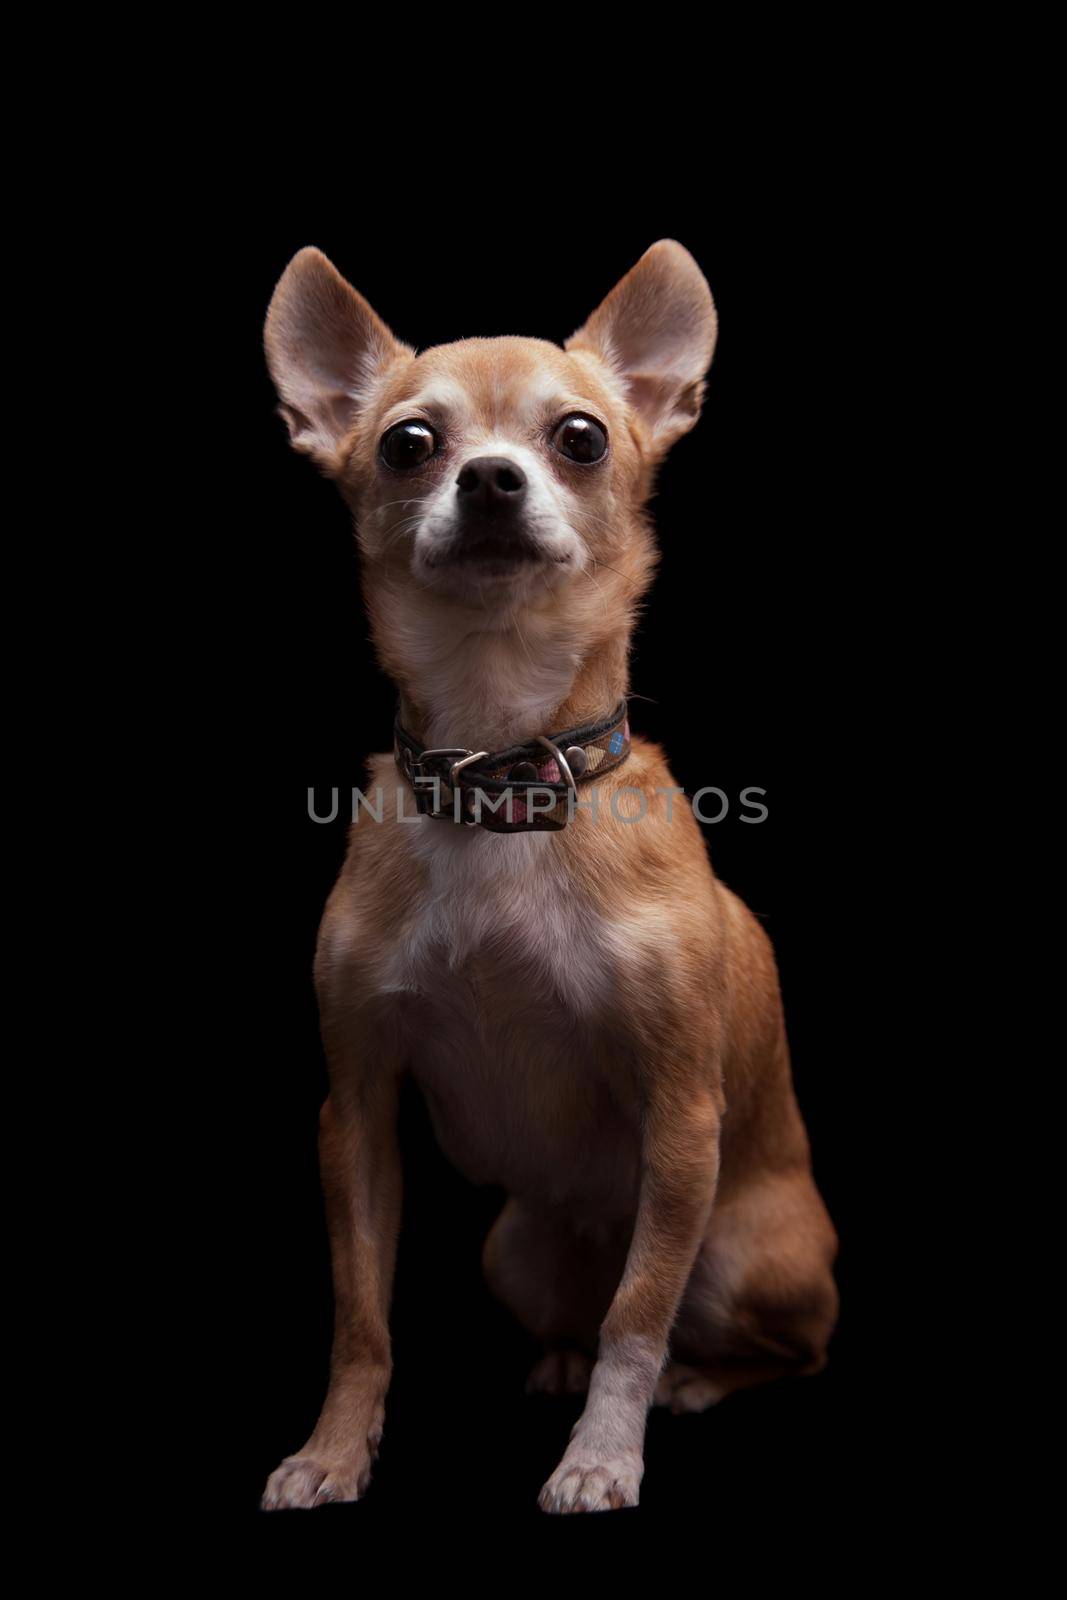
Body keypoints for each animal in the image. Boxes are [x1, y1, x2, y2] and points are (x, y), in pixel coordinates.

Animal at [259, 240, 831, 1510]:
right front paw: (332, 1450)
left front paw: (601, 1458)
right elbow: (360, 1315)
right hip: (511, 1245)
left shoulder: (681, 1115)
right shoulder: (356, 1109)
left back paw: (694, 1383)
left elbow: (639, 1316)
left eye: (578, 437)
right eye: (407, 443)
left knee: (764, 1340)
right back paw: (557, 1358)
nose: (487, 479)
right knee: (576, 1307)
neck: (502, 778)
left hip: (740, 1251)